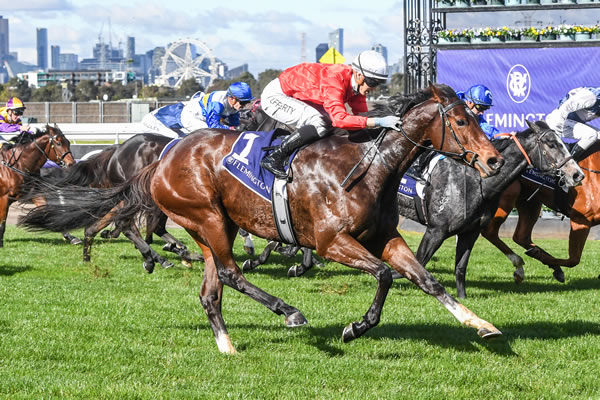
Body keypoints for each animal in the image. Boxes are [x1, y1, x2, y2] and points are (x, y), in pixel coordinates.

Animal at [21, 85, 504, 354]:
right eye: (461, 121)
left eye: (475, 117)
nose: (494, 160)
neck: (368, 166)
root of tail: (161, 158)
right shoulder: (332, 242)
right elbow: (384, 275)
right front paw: (355, 327)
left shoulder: (385, 236)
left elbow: (427, 280)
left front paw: (482, 325)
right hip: (207, 217)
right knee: (229, 273)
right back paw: (287, 311)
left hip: (215, 224)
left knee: (211, 289)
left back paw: (228, 346)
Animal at [482, 143, 600, 282]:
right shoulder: (580, 220)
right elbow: (574, 260)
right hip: (508, 196)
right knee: (490, 232)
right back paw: (520, 264)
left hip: (530, 203)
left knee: (521, 236)